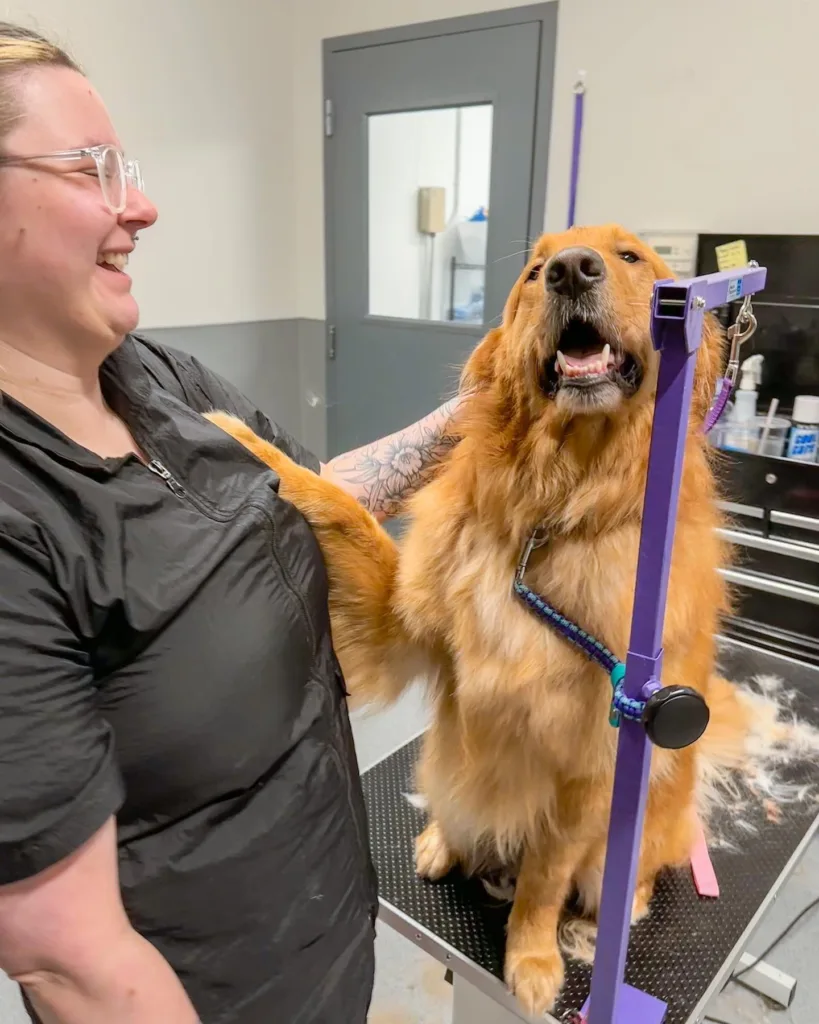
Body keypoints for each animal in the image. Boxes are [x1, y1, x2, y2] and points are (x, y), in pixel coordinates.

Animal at [206, 225, 796, 1017]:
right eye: (532, 271)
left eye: (630, 257)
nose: (571, 270)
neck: (553, 508)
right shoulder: (402, 628)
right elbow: (340, 506)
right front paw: (237, 434)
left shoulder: (587, 762)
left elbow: (543, 878)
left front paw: (533, 957)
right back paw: (441, 839)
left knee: (631, 866)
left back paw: (624, 903)